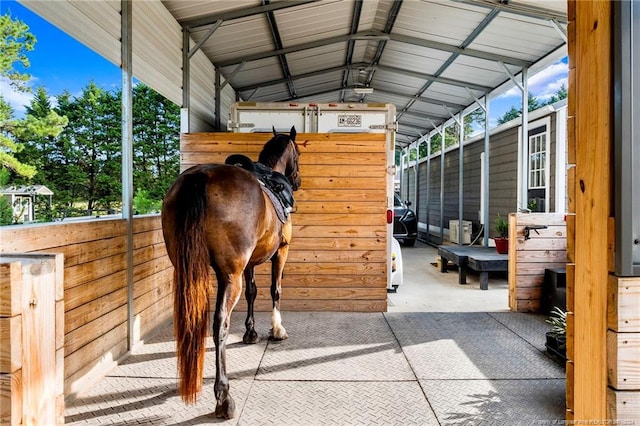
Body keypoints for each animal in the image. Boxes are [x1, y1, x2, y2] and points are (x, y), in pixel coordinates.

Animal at [160, 126, 300, 420]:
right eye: (299, 154)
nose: (298, 180)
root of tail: (199, 178)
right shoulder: (281, 251)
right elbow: (275, 290)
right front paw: (277, 329)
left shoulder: (249, 264)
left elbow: (252, 293)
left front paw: (250, 332)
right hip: (229, 276)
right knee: (219, 324)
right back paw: (223, 396)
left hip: (187, 272)